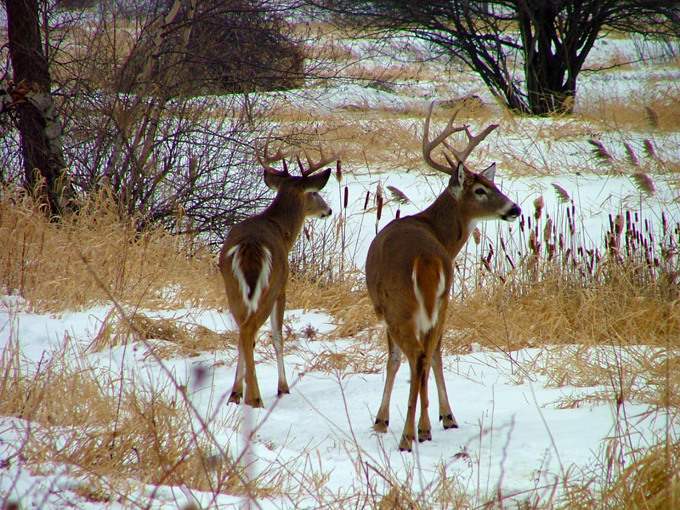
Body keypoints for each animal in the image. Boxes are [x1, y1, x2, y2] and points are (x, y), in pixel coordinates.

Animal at [218, 141, 338, 408]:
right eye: (314, 193)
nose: (328, 210)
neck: (281, 228)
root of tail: (250, 247)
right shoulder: (283, 287)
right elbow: (278, 336)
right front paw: (283, 387)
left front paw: (236, 392)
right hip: (269, 288)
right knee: (250, 331)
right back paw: (255, 398)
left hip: (232, 288)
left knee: (243, 333)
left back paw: (238, 393)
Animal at [366, 103, 520, 450]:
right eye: (482, 189)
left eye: (493, 186)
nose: (515, 209)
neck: (436, 231)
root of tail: (425, 257)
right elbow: (434, 356)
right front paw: (443, 419)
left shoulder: (384, 309)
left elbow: (395, 359)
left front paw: (383, 420)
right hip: (443, 300)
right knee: (430, 354)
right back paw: (425, 426)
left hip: (399, 305)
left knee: (416, 356)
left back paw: (407, 436)